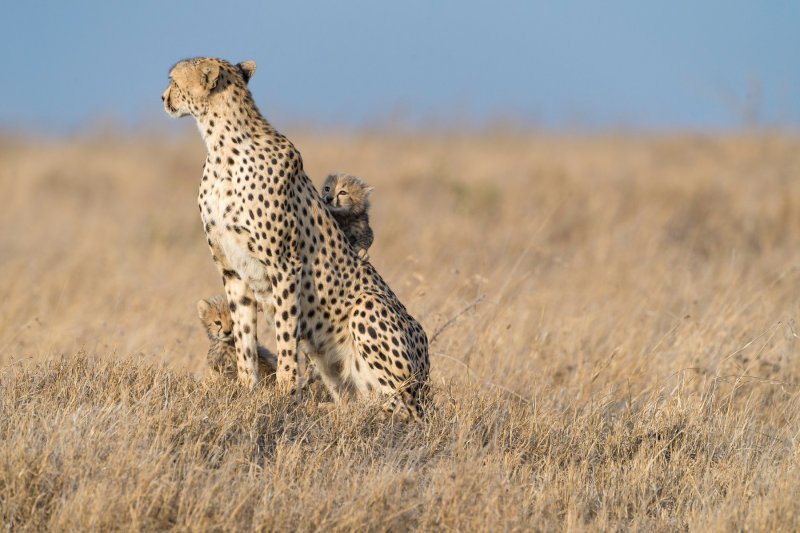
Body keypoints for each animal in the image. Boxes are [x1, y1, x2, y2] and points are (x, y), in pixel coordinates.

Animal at [162, 56, 432, 418]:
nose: (164, 98)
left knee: (401, 410)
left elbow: (286, 334)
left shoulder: (285, 265)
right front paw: (248, 389)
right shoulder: (232, 270)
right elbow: (245, 335)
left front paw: (285, 392)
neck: (221, 147)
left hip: (370, 312)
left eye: (174, 81)